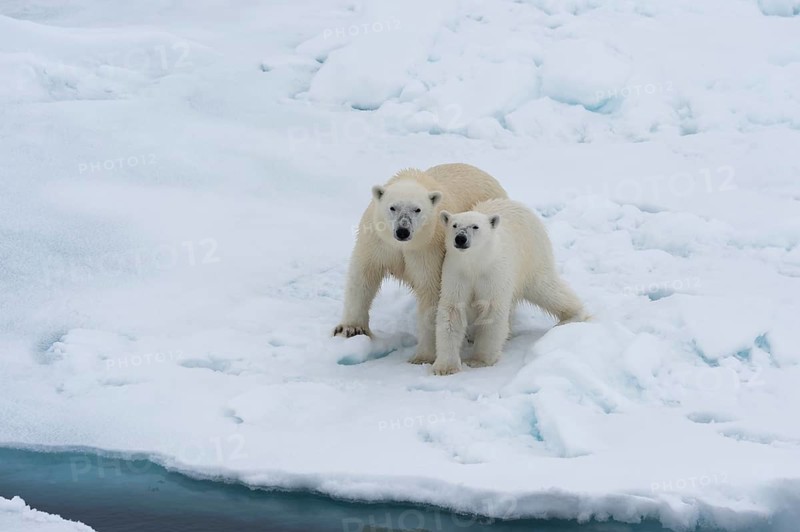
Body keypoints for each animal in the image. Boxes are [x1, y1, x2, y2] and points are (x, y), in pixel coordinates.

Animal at [333, 163, 508, 364]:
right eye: (392, 207)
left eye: (417, 209)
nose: (403, 231)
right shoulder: (377, 242)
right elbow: (363, 275)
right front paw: (350, 329)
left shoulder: (427, 249)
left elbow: (430, 291)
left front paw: (423, 356)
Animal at [432, 198, 587, 375]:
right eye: (454, 225)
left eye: (475, 226)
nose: (460, 238)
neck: (476, 263)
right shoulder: (457, 273)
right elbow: (453, 310)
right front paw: (445, 367)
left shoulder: (493, 273)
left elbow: (492, 311)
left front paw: (479, 360)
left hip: (532, 257)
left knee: (546, 288)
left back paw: (573, 315)